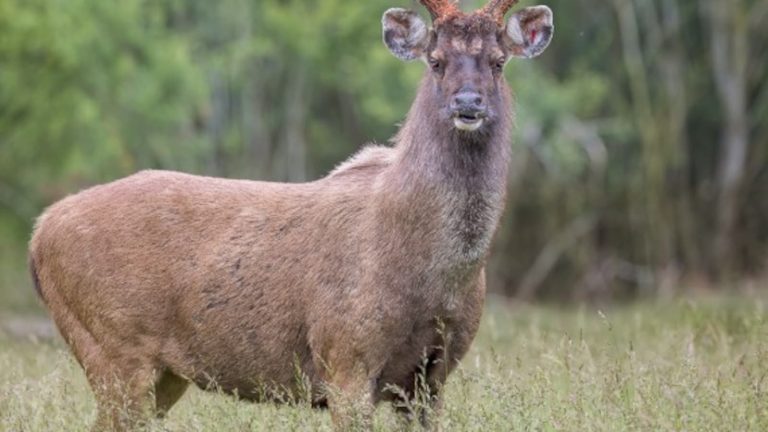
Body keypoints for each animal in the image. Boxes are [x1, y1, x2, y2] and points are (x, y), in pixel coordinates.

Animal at [28, 0, 553, 430]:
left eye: (499, 62)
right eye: (436, 60)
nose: (468, 104)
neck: (432, 278)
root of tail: (38, 234)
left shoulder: (432, 376)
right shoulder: (344, 356)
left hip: (162, 373)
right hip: (113, 347)